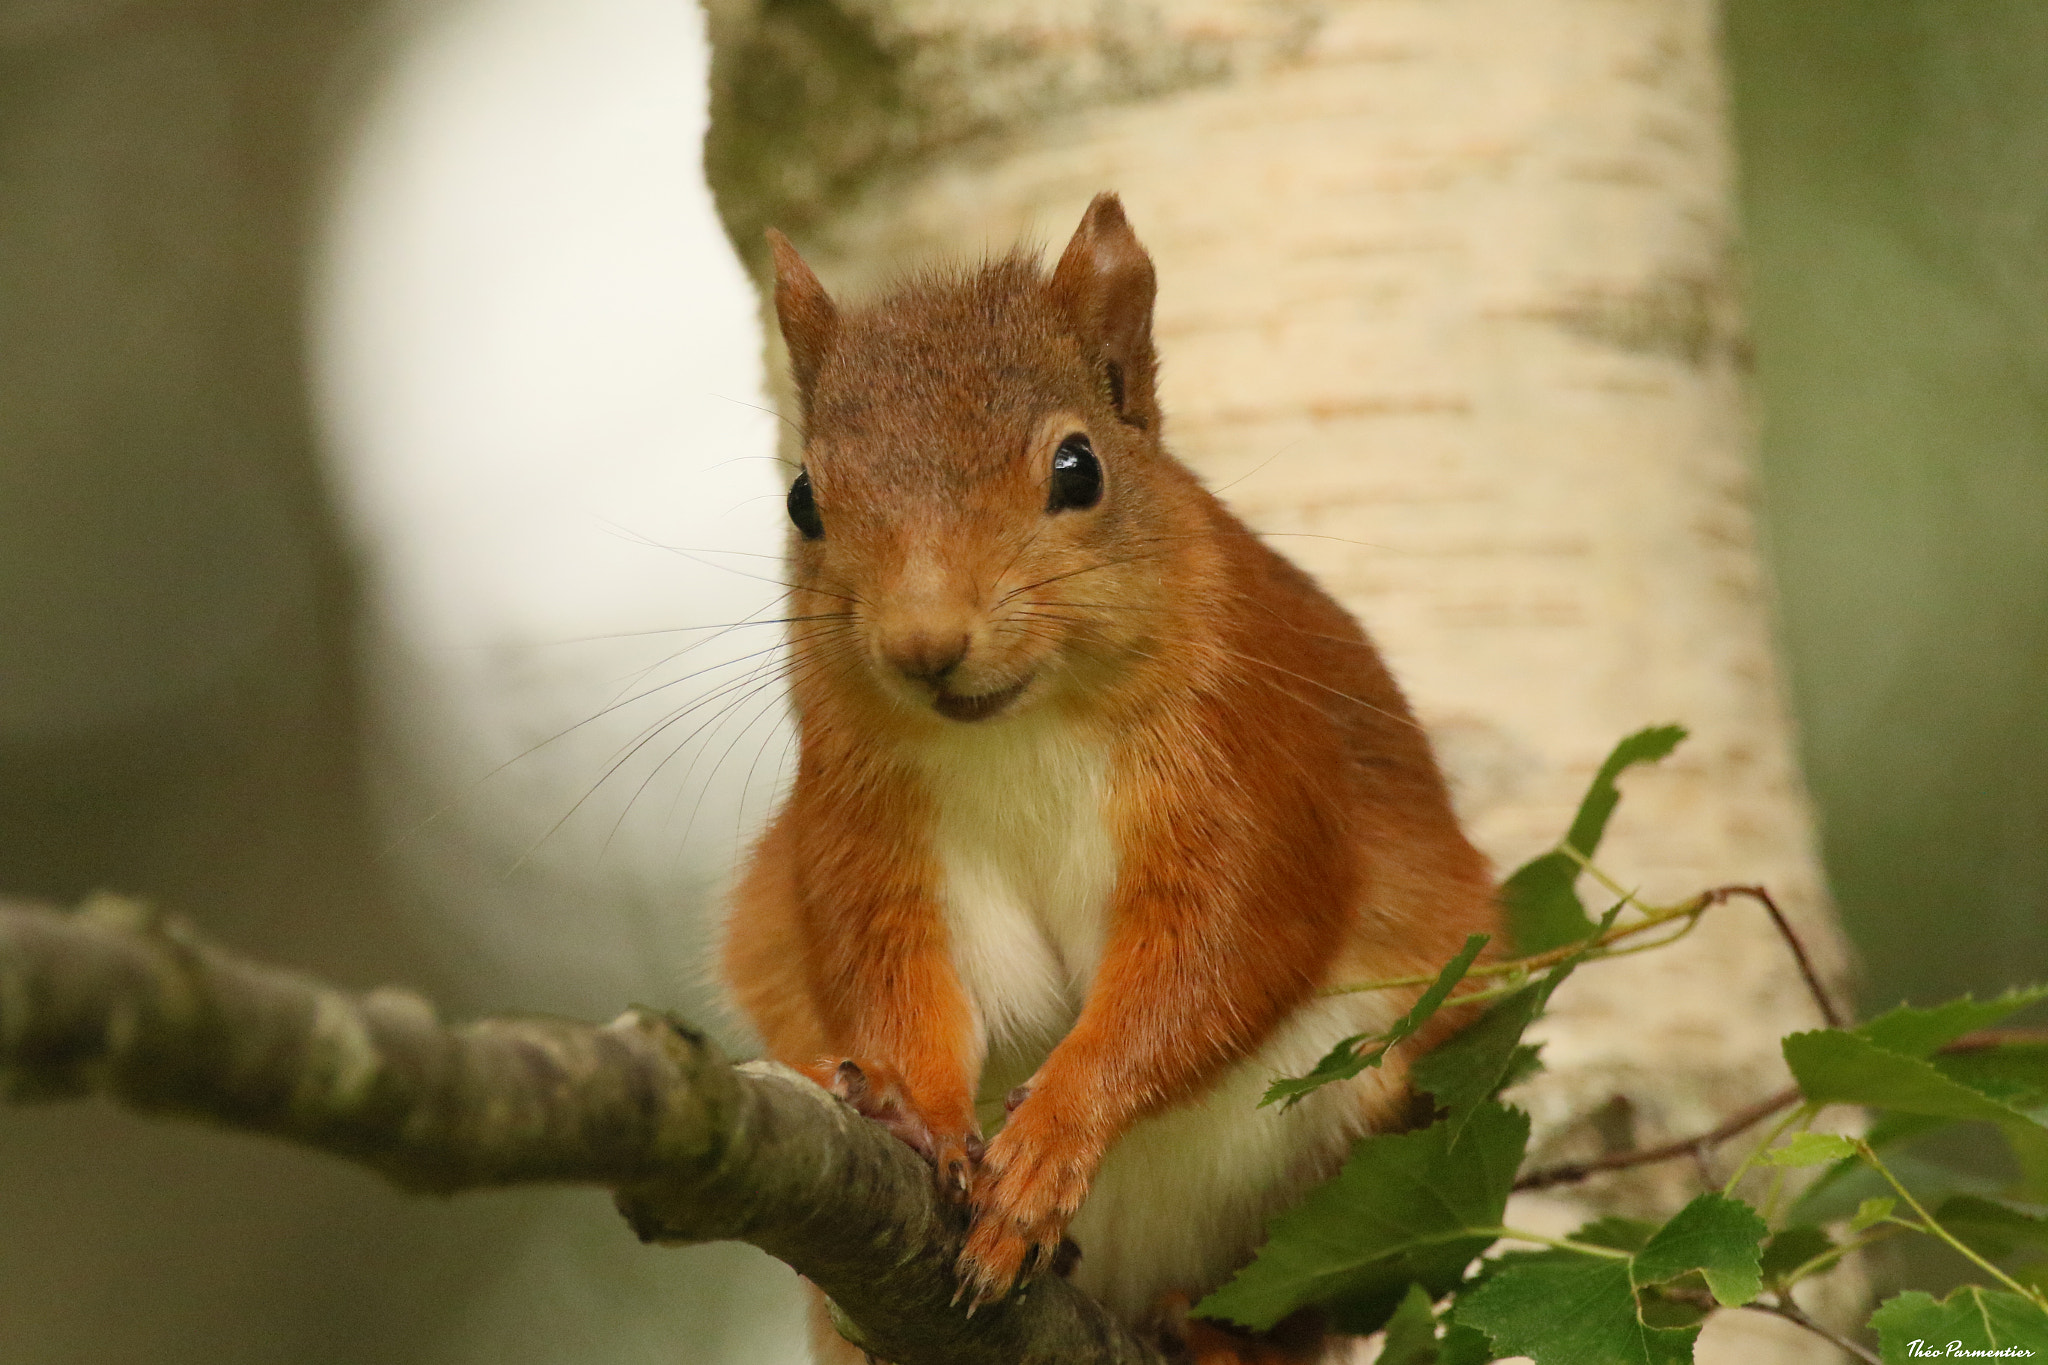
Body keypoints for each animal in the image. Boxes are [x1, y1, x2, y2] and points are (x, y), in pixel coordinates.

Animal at [729, 194, 1499, 1365]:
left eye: (1077, 469)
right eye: (802, 499)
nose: (922, 644)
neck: (1019, 729)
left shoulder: (1251, 760)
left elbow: (1218, 952)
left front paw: (1049, 1145)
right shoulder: (864, 816)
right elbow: (898, 975)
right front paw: (917, 1112)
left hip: (1355, 1138)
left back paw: (1210, 1332)